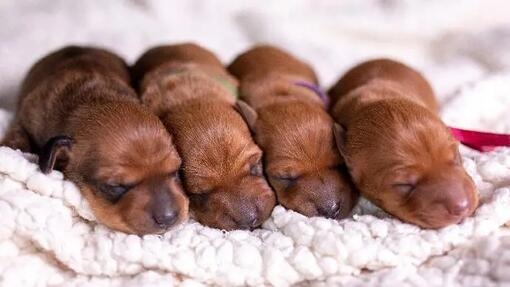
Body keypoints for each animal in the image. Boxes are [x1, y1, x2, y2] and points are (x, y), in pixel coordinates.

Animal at [0, 46, 188, 236]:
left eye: (175, 171)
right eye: (115, 186)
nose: (168, 218)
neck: (93, 101)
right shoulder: (27, 115)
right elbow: (17, 133)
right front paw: (12, 148)